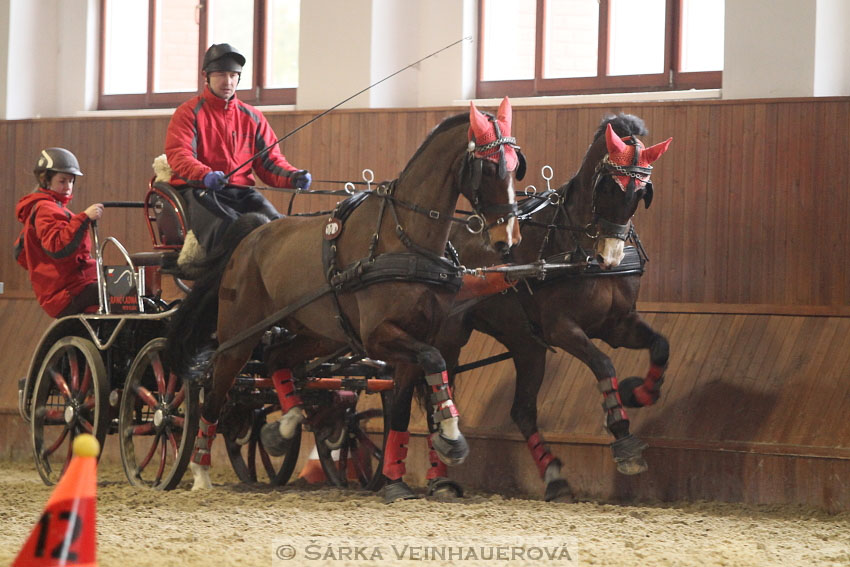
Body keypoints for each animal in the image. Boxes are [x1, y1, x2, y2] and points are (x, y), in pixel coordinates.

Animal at [164, 100, 524, 500]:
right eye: (489, 167)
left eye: (515, 165)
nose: (508, 238)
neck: (402, 238)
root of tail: (250, 236)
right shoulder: (379, 337)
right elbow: (433, 363)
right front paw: (450, 437)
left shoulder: (417, 339)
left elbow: (408, 402)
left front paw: (398, 477)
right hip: (238, 338)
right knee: (215, 393)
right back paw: (199, 470)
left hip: (317, 334)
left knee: (276, 359)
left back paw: (285, 426)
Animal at [416, 112, 668, 502]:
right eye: (609, 188)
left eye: (641, 193)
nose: (609, 258)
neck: (575, 245)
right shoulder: (561, 328)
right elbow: (603, 363)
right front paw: (622, 433)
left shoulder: (619, 324)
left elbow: (660, 346)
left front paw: (640, 392)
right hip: (449, 336)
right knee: (435, 398)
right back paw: (440, 474)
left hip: (526, 344)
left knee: (522, 410)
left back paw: (553, 474)